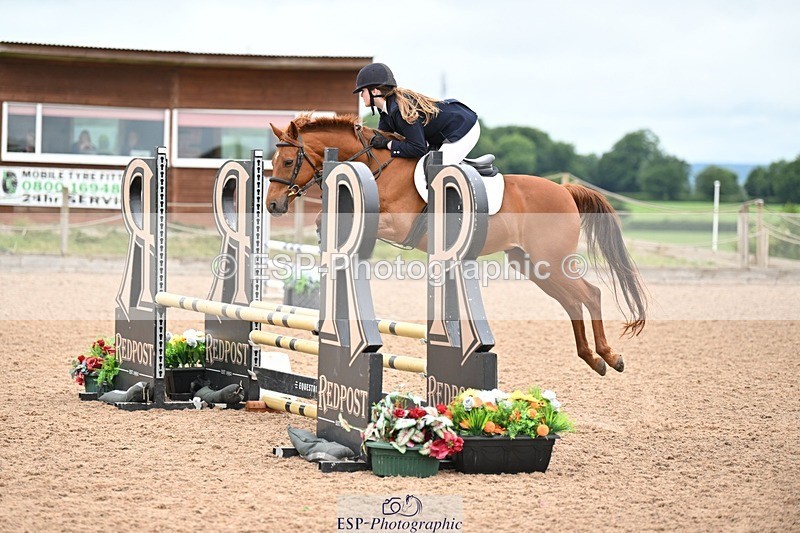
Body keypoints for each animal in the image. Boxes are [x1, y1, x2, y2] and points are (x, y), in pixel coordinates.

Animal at [266, 114, 647, 376]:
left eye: (288, 161)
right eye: (271, 162)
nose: (272, 205)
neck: (377, 164)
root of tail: (565, 190)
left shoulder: (398, 225)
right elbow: (323, 223)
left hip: (551, 260)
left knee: (590, 294)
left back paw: (610, 356)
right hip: (532, 264)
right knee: (572, 302)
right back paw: (593, 359)